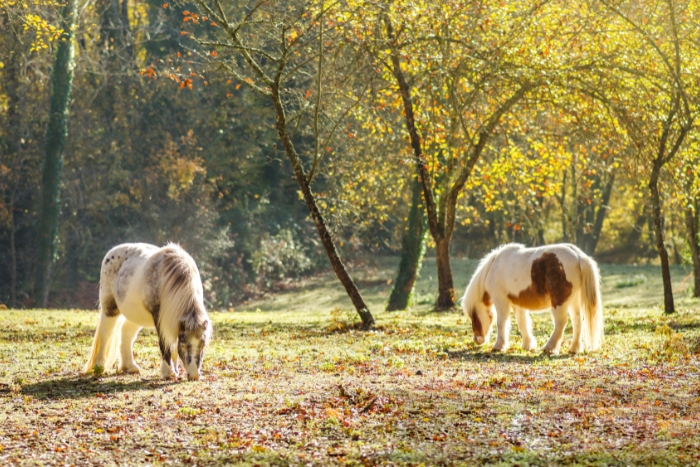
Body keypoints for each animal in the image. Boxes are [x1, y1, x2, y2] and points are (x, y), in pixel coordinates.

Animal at [80, 243, 212, 382]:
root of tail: (111, 253)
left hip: (135, 315)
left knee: (127, 334)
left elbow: (172, 343)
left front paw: (175, 371)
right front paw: (169, 372)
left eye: (202, 345)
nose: (194, 376)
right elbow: (165, 344)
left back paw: (130, 367)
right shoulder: (159, 317)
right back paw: (99, 366)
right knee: (106, 334)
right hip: (110, 310)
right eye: (184, 345)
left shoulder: (173, 321)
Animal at [462, 245, 604, 354]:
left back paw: (549, 347)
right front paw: (528, 345)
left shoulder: (501, 301)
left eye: (474, 316)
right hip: (574, 301)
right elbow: (522, 323)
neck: (494, 266)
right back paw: (574, 348)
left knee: (561, 322)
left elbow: (501, 323)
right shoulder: (517, 304)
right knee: (577, 321)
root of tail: (579, 256)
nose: (477, 339)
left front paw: (499, 346)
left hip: (559, 303)